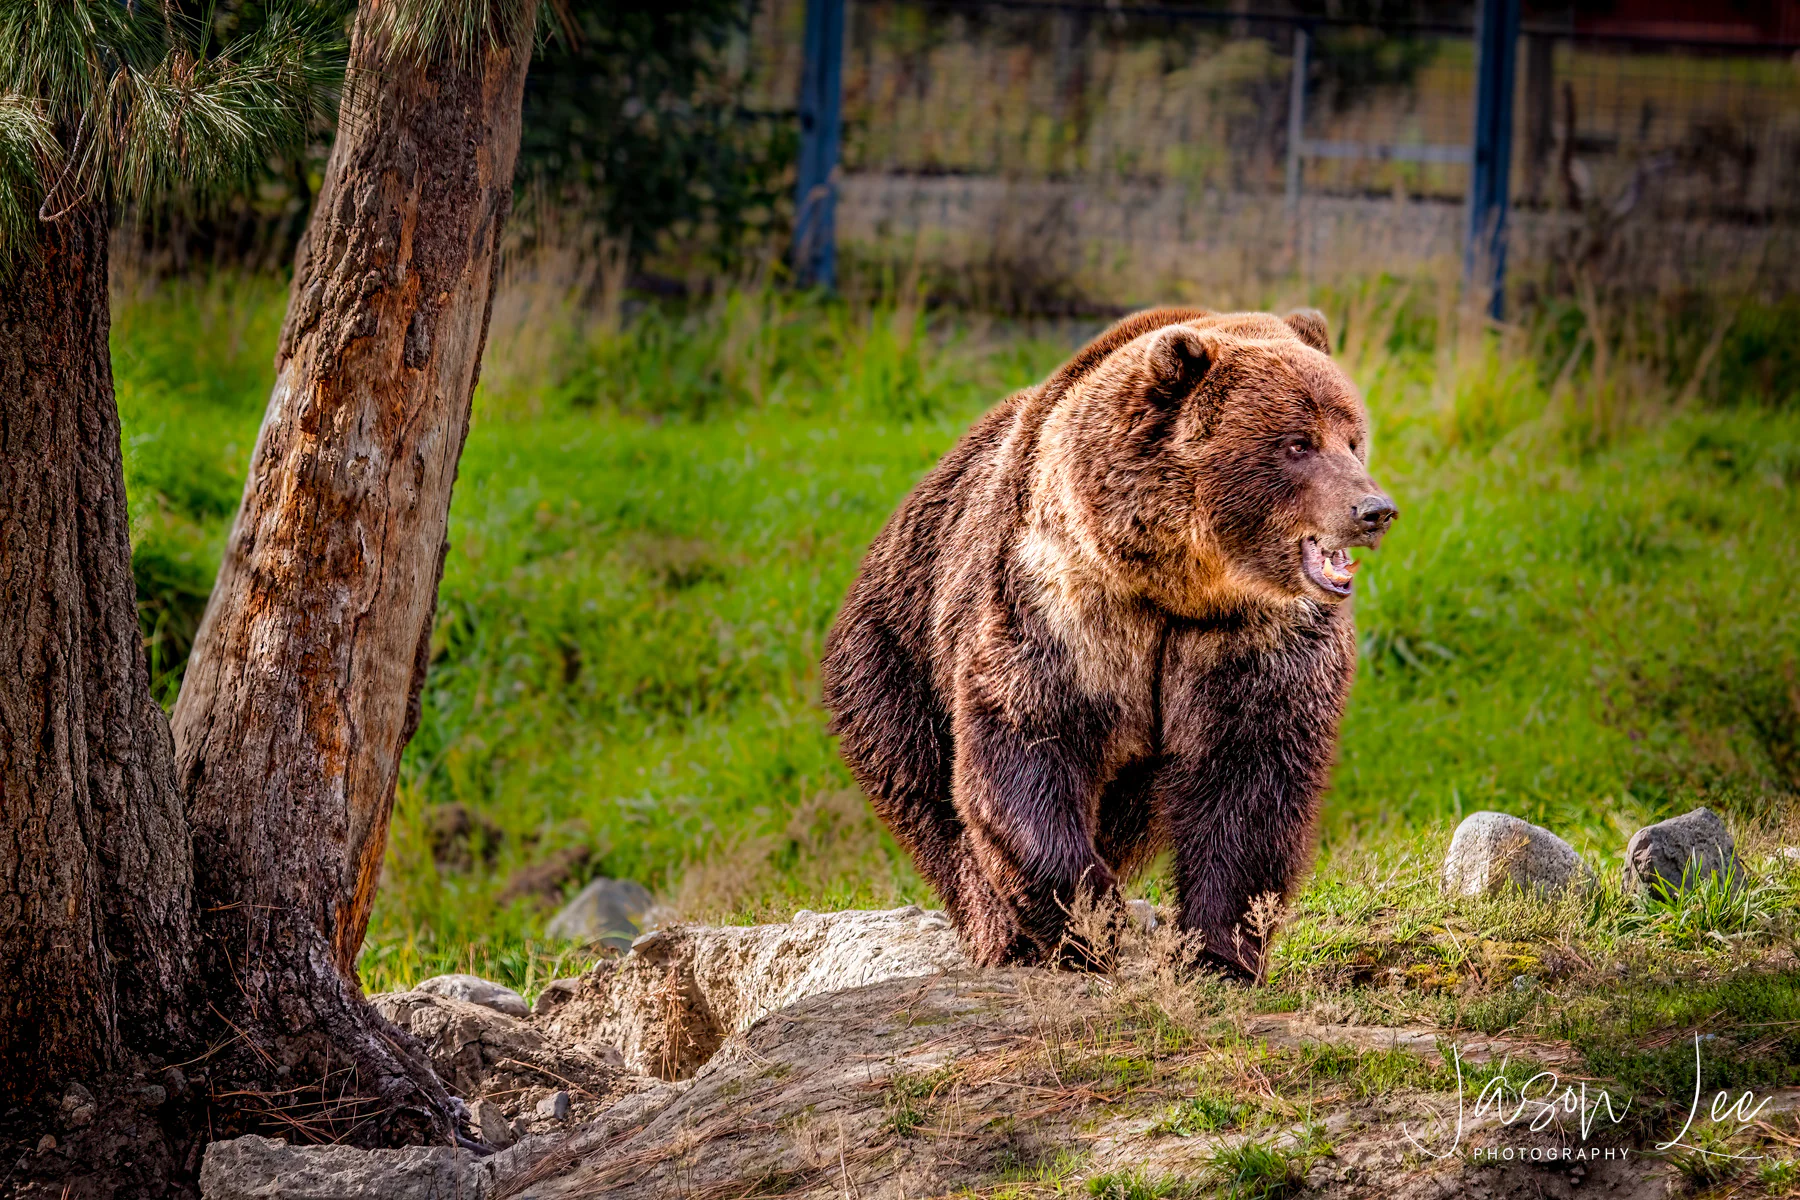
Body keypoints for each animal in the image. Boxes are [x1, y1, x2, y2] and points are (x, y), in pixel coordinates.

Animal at [820, 306, 1396, 976]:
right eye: (1297, 443)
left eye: (1352, 438)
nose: (1373, 509)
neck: (1177, 587)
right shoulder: (1059, 608)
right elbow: (1024, 750)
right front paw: (1096, 924)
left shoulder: (1254, 640)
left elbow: (1250, 777)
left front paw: (1218, 950)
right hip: (892, 652)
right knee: (927, 791)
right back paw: (999, 930)